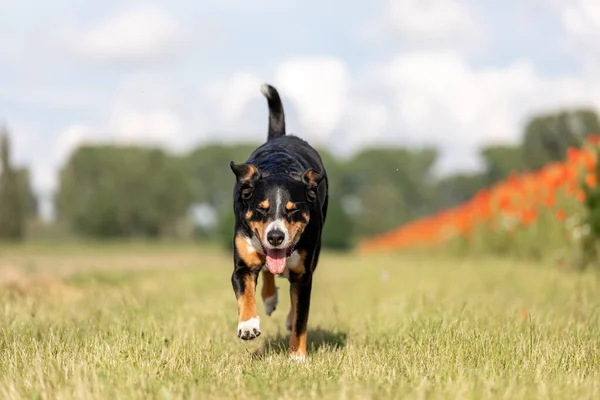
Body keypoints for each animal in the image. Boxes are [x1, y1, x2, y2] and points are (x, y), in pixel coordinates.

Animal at [229, 82, 328, 360]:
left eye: (293, 210)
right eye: (261, 209)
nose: (275, 236)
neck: (279, 169)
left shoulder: (304, 273)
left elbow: (301, 319)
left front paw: (297, 356)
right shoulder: (242, 264)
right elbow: (246, 293)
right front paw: (248, 325)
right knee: (267, 270)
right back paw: (270, 298)